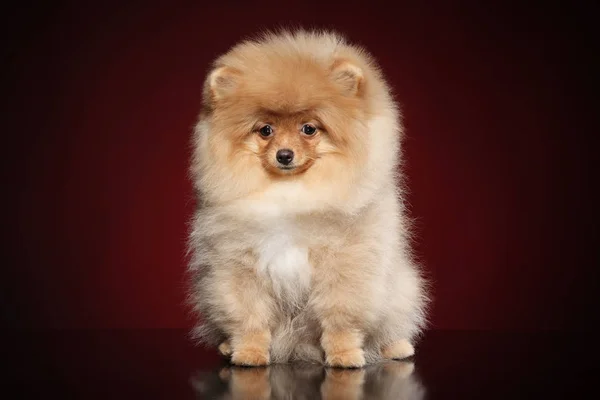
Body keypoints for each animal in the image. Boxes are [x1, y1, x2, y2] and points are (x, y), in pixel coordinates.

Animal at [188, 29, 426, 368]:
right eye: (265, 130)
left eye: (309, 129)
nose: (284, 155)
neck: (291, 196)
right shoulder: (238, 265)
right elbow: (250, 319)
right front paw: (248, 353)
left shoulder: (345, 266)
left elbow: (340, 319)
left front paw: (345, 355)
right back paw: (225, 347)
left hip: (401, 291)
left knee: (391, 325)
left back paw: (395, 347)